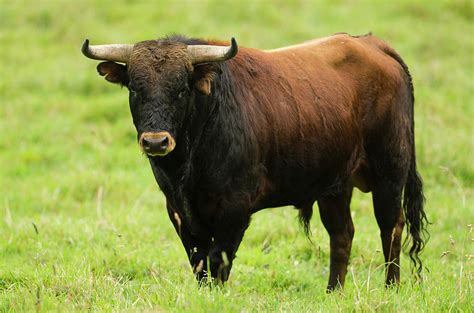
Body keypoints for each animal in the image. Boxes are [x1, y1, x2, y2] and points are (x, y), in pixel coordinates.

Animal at [82, 34, 430, 290]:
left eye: (181, 89)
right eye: (135, 89)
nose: (156, 142)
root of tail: (373, 45)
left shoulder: (235, 210)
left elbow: (218, 263)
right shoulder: (179, 212)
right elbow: (199, 264)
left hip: (389, 173)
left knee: (391, 226)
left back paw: (391, 287)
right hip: (335, 186)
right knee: (342, 233)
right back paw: (334, 291)